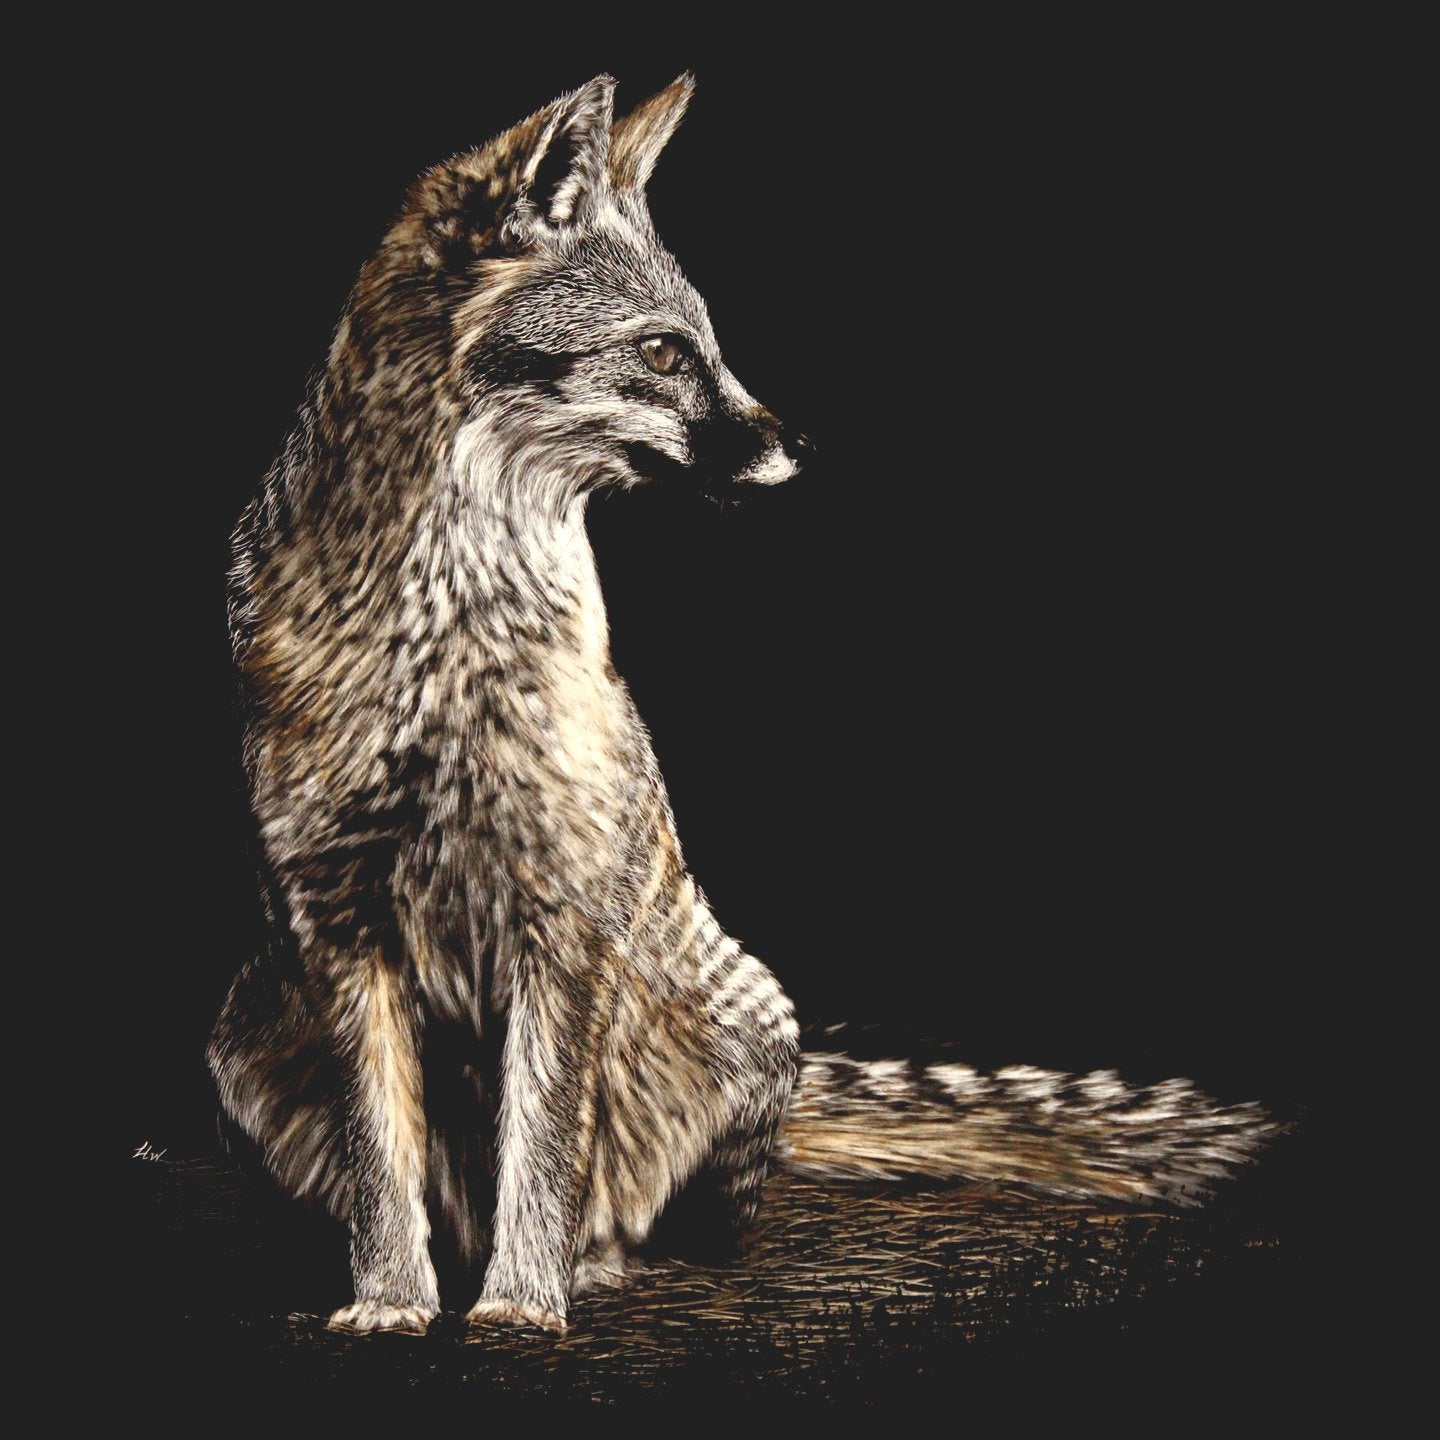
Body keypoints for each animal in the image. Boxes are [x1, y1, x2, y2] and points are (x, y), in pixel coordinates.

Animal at [207, 73, 1272, 1337]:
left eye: (707, 346)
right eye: (664, 351)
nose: (802, 443)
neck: (444, 645)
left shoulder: (563, 923)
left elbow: (545, 1149)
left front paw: (523, 1303)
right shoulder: (339, 927)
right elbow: (384, 1159)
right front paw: (389, 1303)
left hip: (738, 1026)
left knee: (638, 1201)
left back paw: (594, 1264)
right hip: (243, 1044)